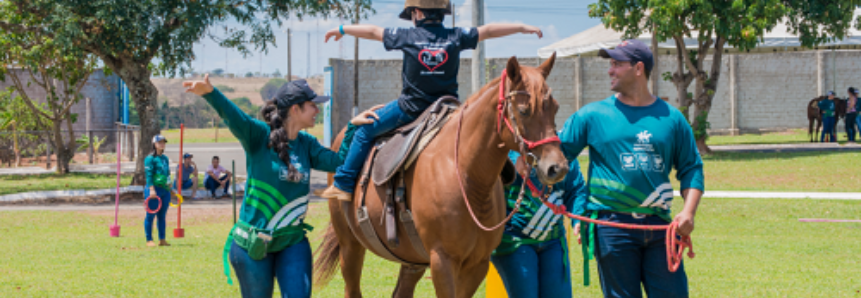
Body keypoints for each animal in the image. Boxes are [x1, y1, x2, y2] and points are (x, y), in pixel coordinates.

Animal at [312, 54, 568, 296]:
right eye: (524, 111)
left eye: (555, 107)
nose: (557, 168)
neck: (464, 174)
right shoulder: (442, 262)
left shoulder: (477, 264)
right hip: (350, 246)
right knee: (352, 289)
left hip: (412, 259)